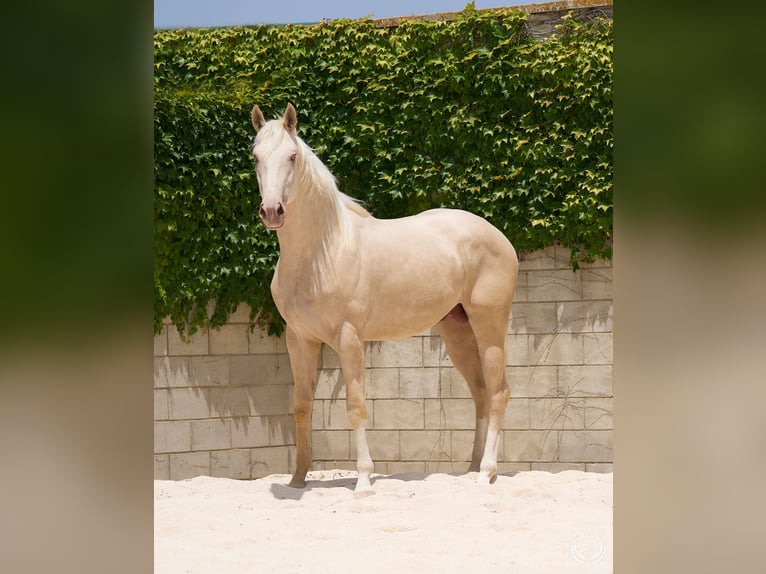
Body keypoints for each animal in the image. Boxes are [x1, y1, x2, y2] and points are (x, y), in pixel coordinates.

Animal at [250, 103, 518, 494]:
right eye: (255, 157)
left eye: (292, 156)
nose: (272, 211)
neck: (322, 252)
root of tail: (499, 237)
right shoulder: (299, 339)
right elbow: (301, 405)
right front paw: (298, 478)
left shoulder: (349, 339)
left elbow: (356, 405)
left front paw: (363, 480)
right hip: (457, 331)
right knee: (481, 392)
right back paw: (470, 468)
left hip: (490, 326)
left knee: (498, 392)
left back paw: (487, 472)